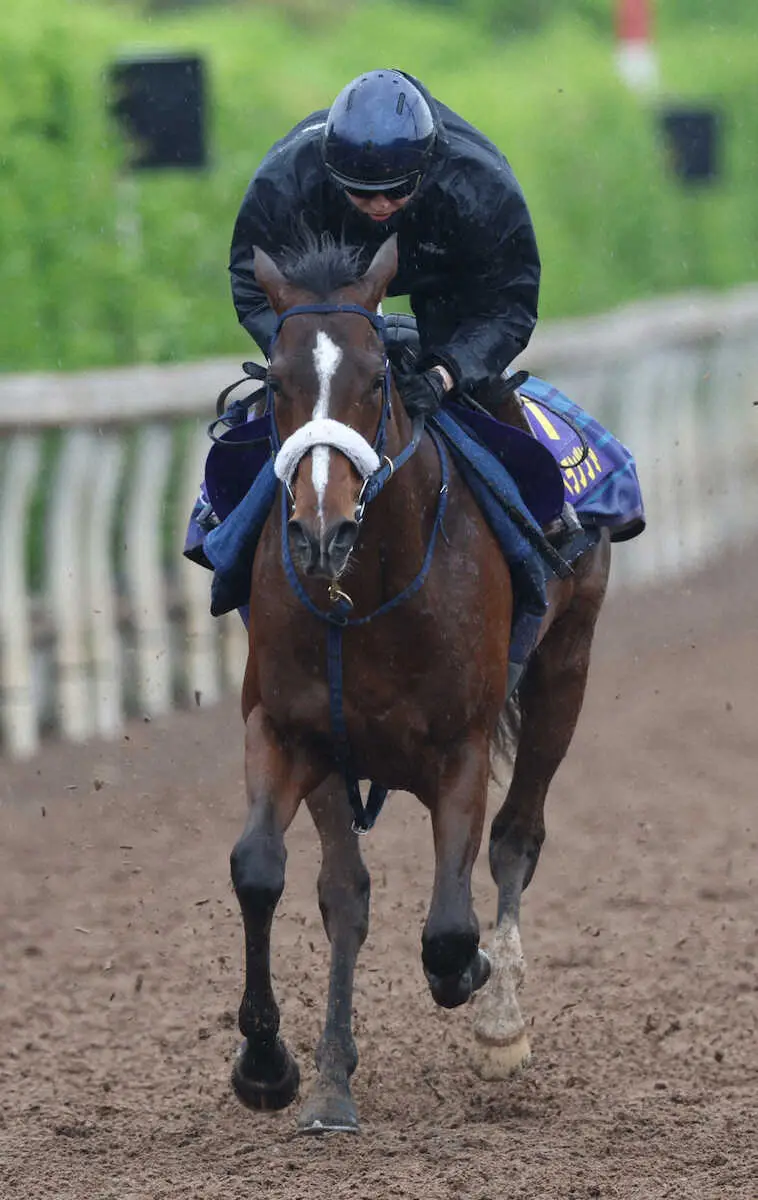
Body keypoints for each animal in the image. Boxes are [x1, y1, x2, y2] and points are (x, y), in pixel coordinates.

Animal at [226, 231, 609, 1132]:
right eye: (277, 380)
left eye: (377, 378)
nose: (319, 533)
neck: (364, 591)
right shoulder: (289, 730)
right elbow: (264, 870)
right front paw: (269, 1065)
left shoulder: (459, 746)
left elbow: (449, 932)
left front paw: (476, 982)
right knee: (347, 894)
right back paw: (333, 1084)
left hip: (564, 669)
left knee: (517, 838)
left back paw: (500, 1019)